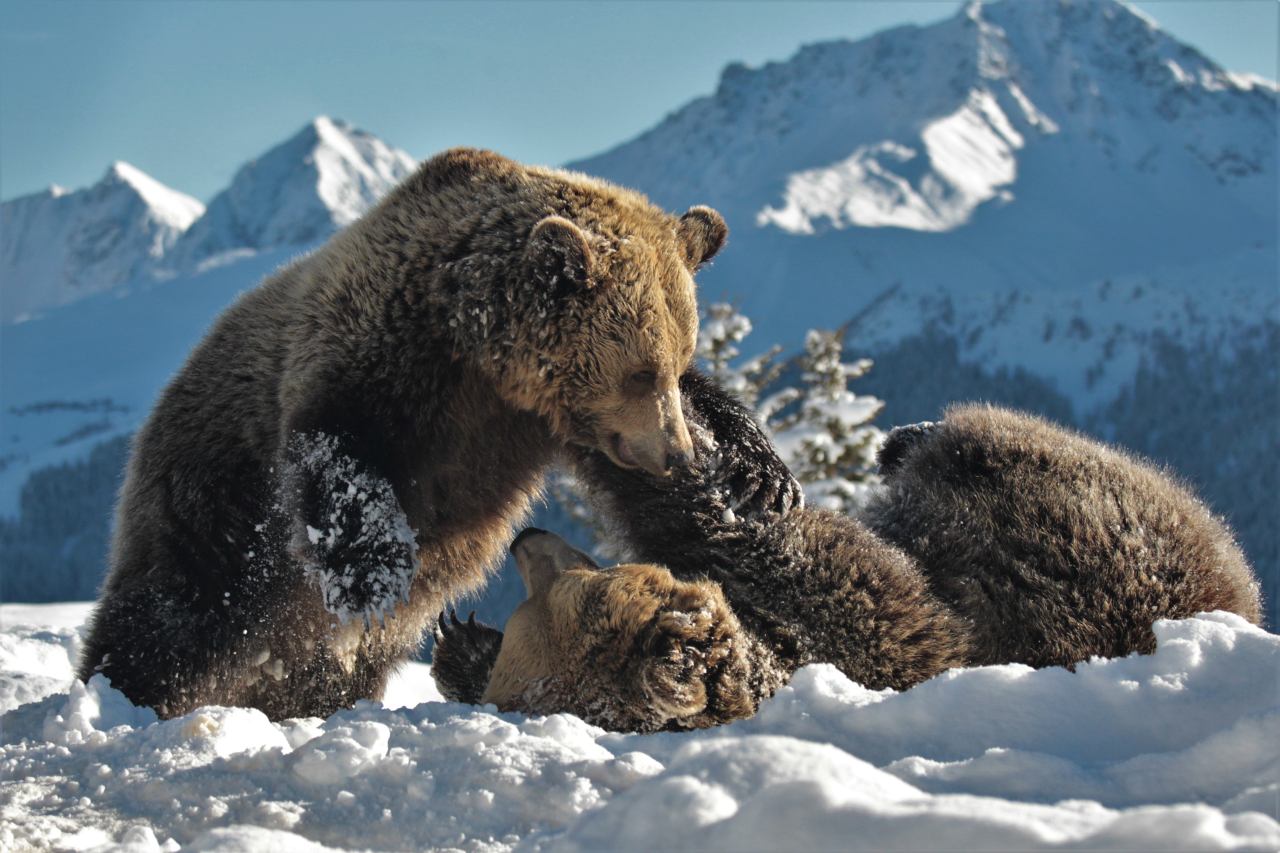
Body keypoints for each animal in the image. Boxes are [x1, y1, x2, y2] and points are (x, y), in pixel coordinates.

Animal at [74, 147, 798, 717]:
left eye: (677, 359)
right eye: (640, 371)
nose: (673, 455)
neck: (480, 351)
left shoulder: (534, 419)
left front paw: (759, 476)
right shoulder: (381, 348)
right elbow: (340, 445)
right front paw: (371, 569)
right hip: (212, 499)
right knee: (170, 619)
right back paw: (120, 693)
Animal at [430, 402, 1259, 727]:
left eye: (566, 584)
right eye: (548, 596)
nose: (525, 540)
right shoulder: (869, 621)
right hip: (1111, 528)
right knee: (992, 442)